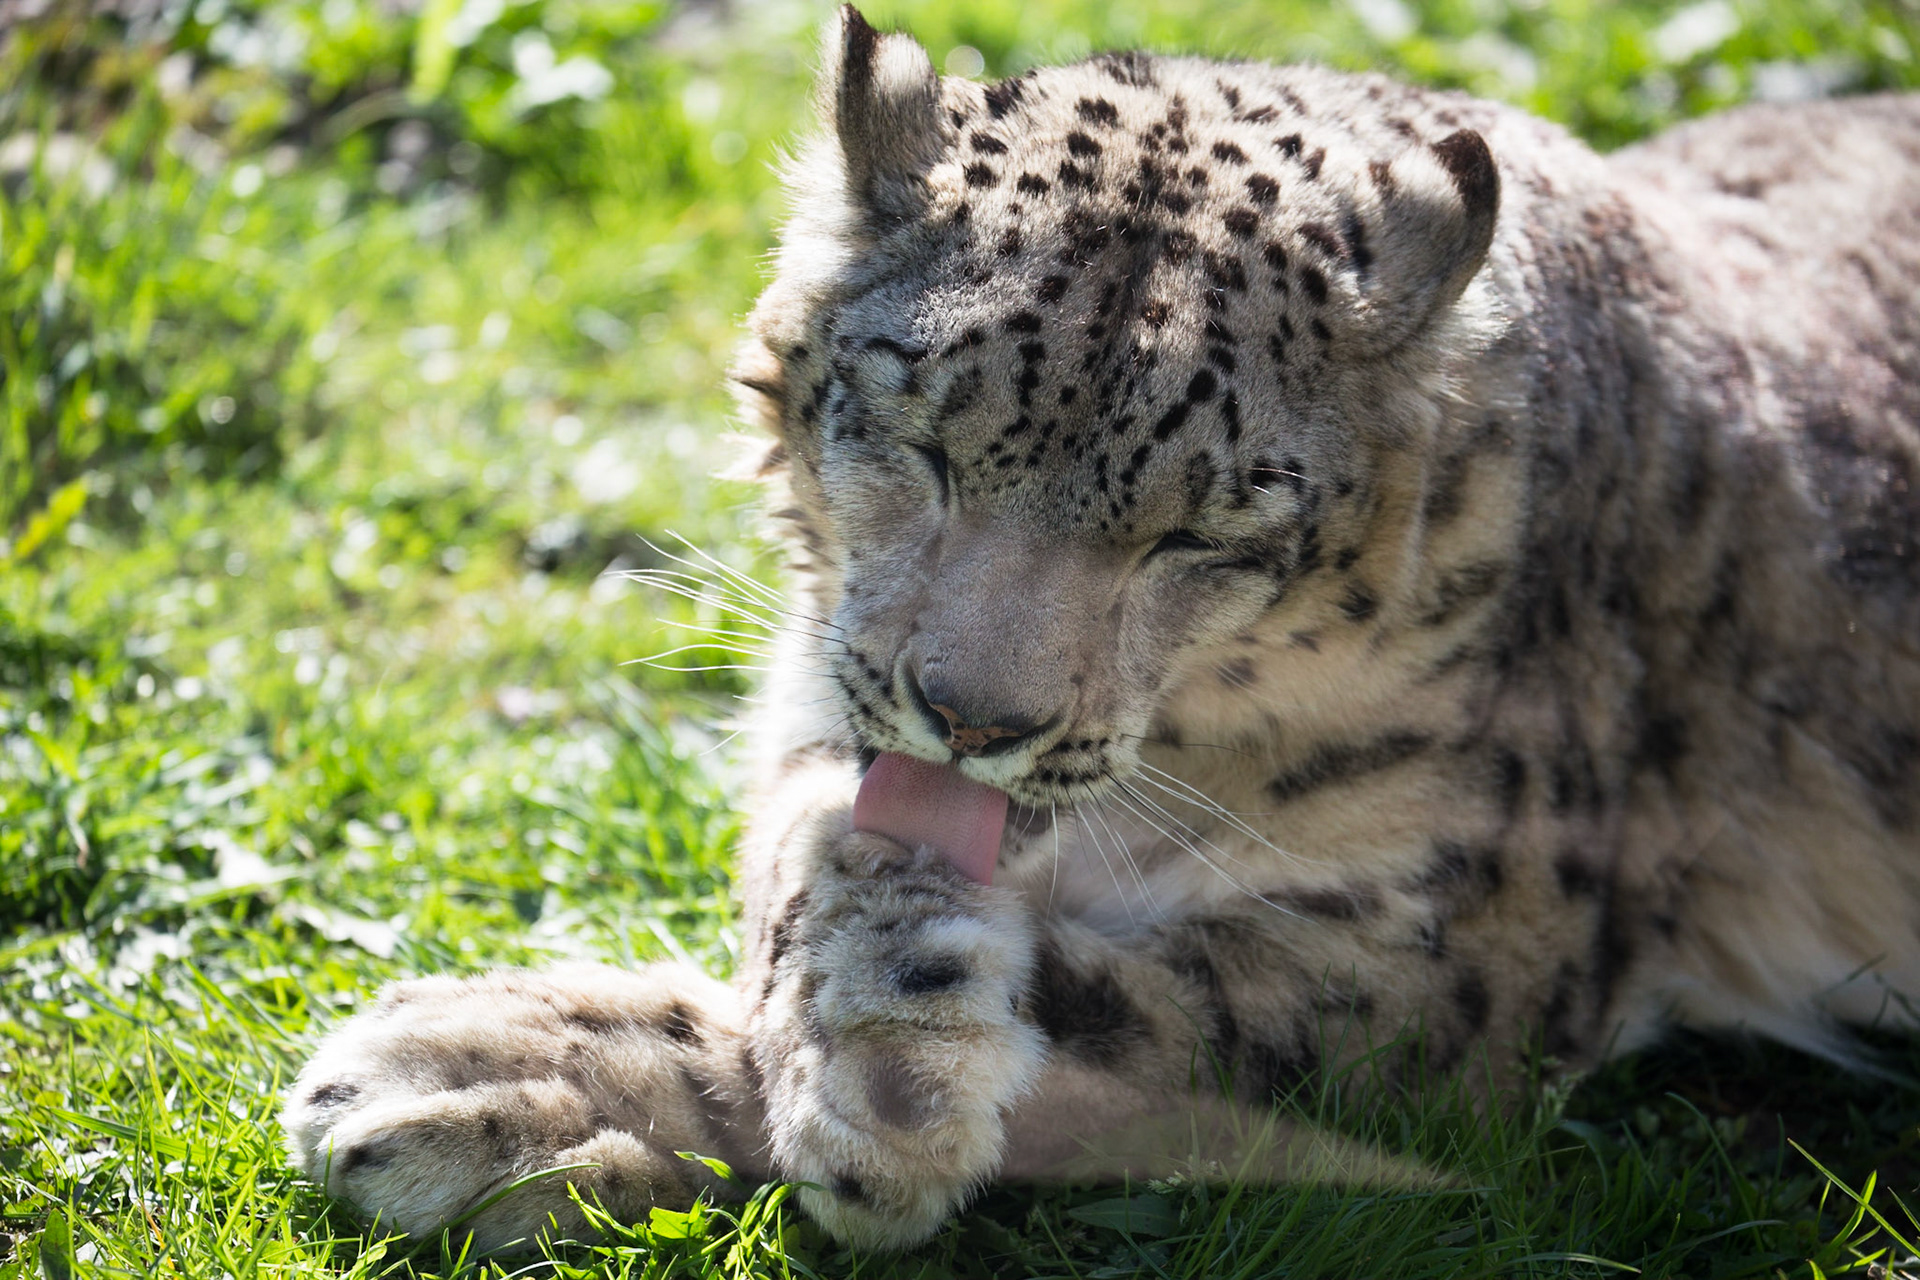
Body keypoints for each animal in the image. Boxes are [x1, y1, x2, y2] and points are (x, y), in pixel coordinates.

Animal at [282, 5, 1920, 1254]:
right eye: (924, 444)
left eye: (1198, 538)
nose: (971, 717)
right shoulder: (818, 692)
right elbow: (806, 850)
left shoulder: (1465, 950)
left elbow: (1137, 1016)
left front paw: (490, 1075)